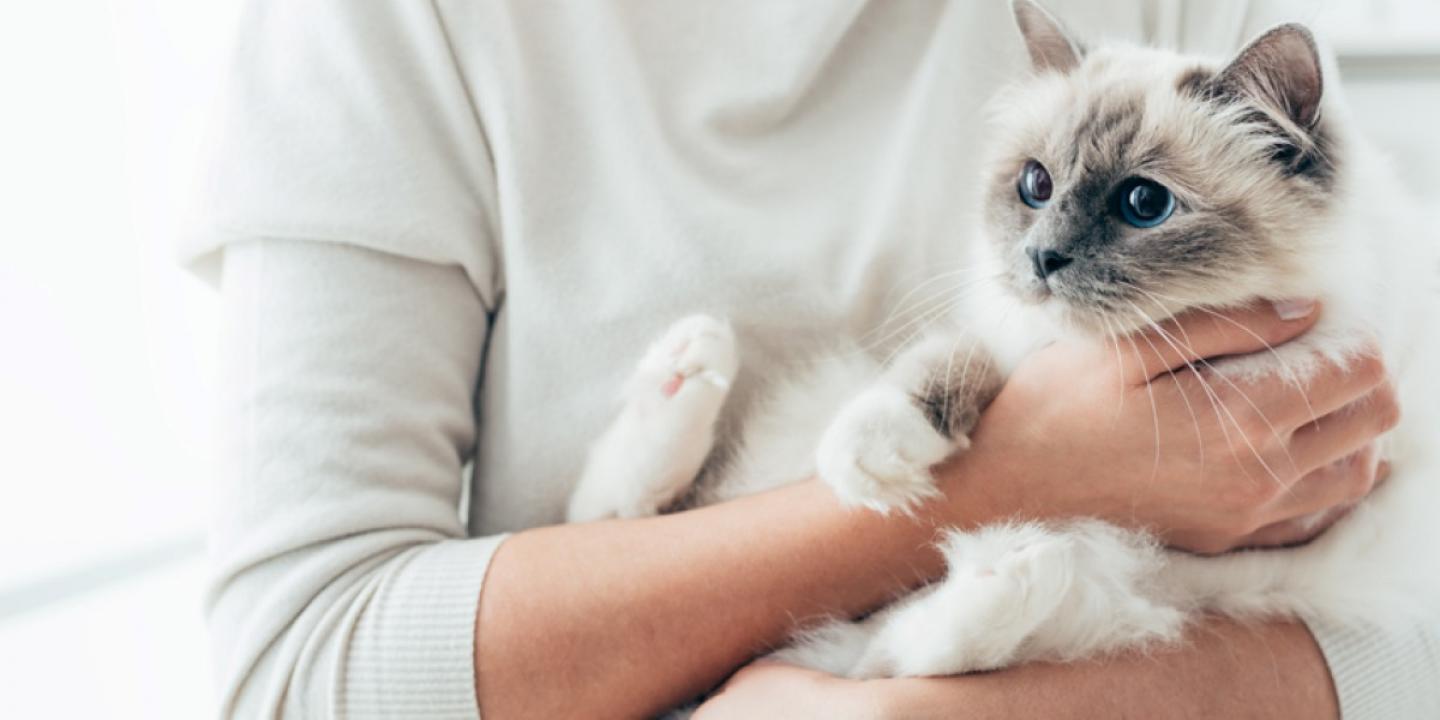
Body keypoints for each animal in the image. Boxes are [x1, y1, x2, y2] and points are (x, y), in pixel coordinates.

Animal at [561, 0, 1440, 676]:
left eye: (1144, 204)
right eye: (1034, 186)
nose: (1041, 259)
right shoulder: (1008, 335)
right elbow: (943, 366)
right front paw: (873, 457)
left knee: (902, 646)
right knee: (617, 515)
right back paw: (691, 363)